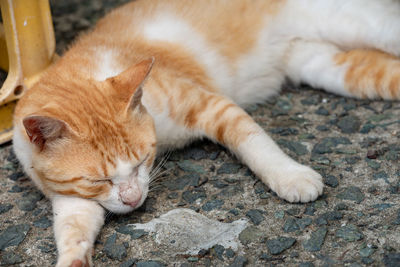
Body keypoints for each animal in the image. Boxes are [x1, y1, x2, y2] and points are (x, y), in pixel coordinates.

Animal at [10, 0, 400, 266]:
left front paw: (291, 176)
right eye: (97, 181)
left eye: (142, 160)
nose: (134, 200)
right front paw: (73, 259)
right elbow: (72, 231)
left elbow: (255, 144)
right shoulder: (72, 200)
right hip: (332, 69)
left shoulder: (209, 105)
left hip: (360, 27)